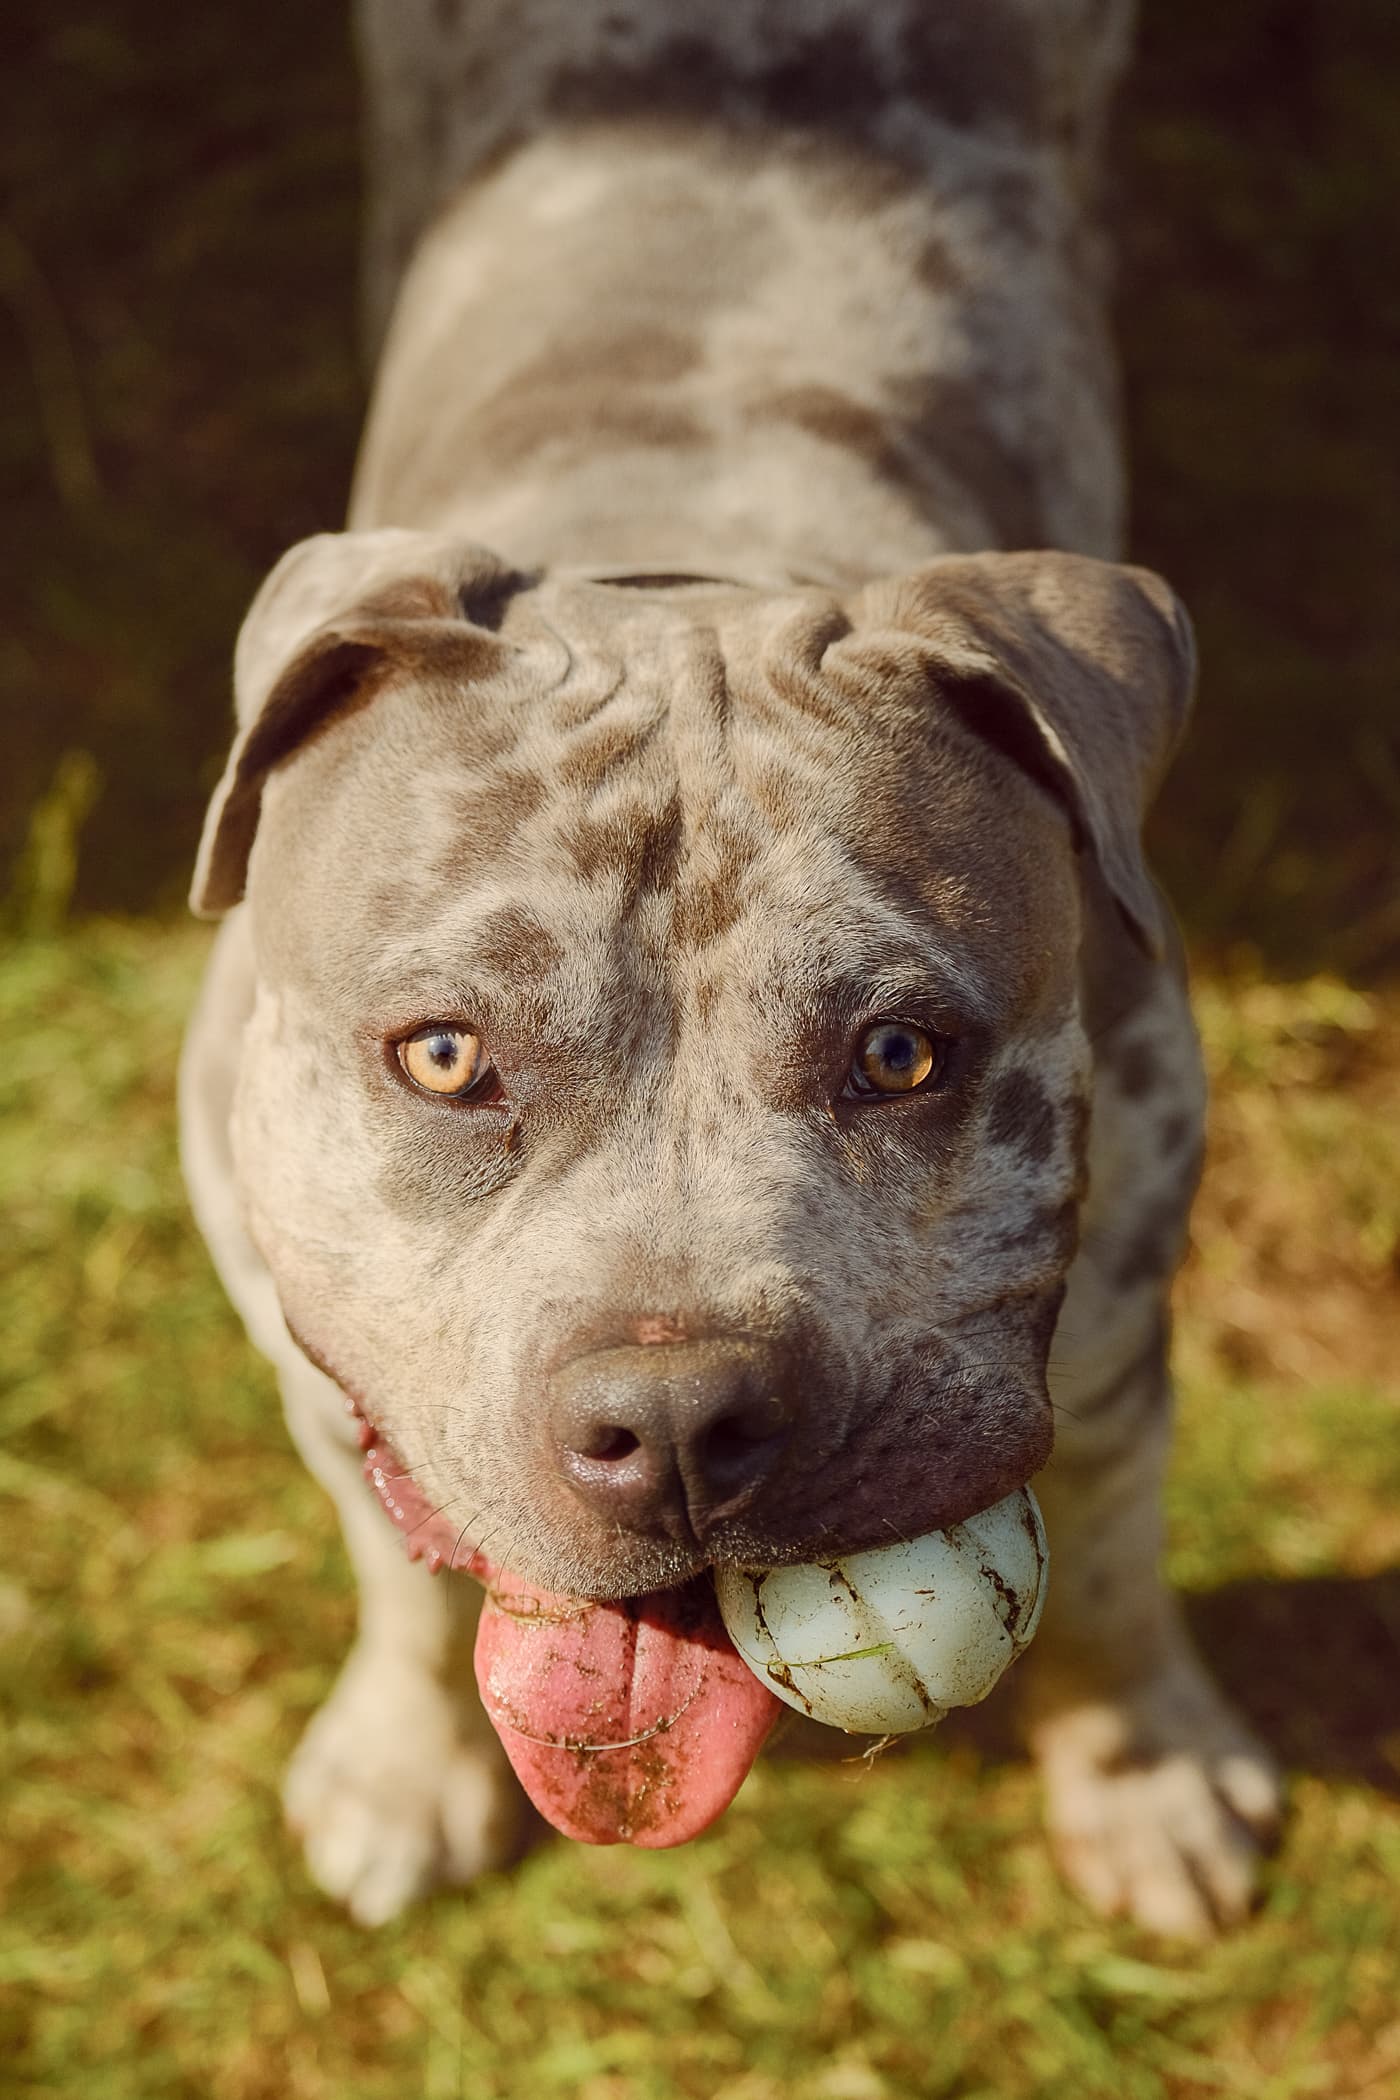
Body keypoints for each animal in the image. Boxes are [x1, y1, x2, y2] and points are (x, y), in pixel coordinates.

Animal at [183, 0, 1284, 1931]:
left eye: (904, 1055)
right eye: (444, 1056)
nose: (682, 1417)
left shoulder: (1118, 1312)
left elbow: (1118, 1548)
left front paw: (1143, 1772)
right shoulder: (302, 1338)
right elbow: (396, 1561)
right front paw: (402, 1765)